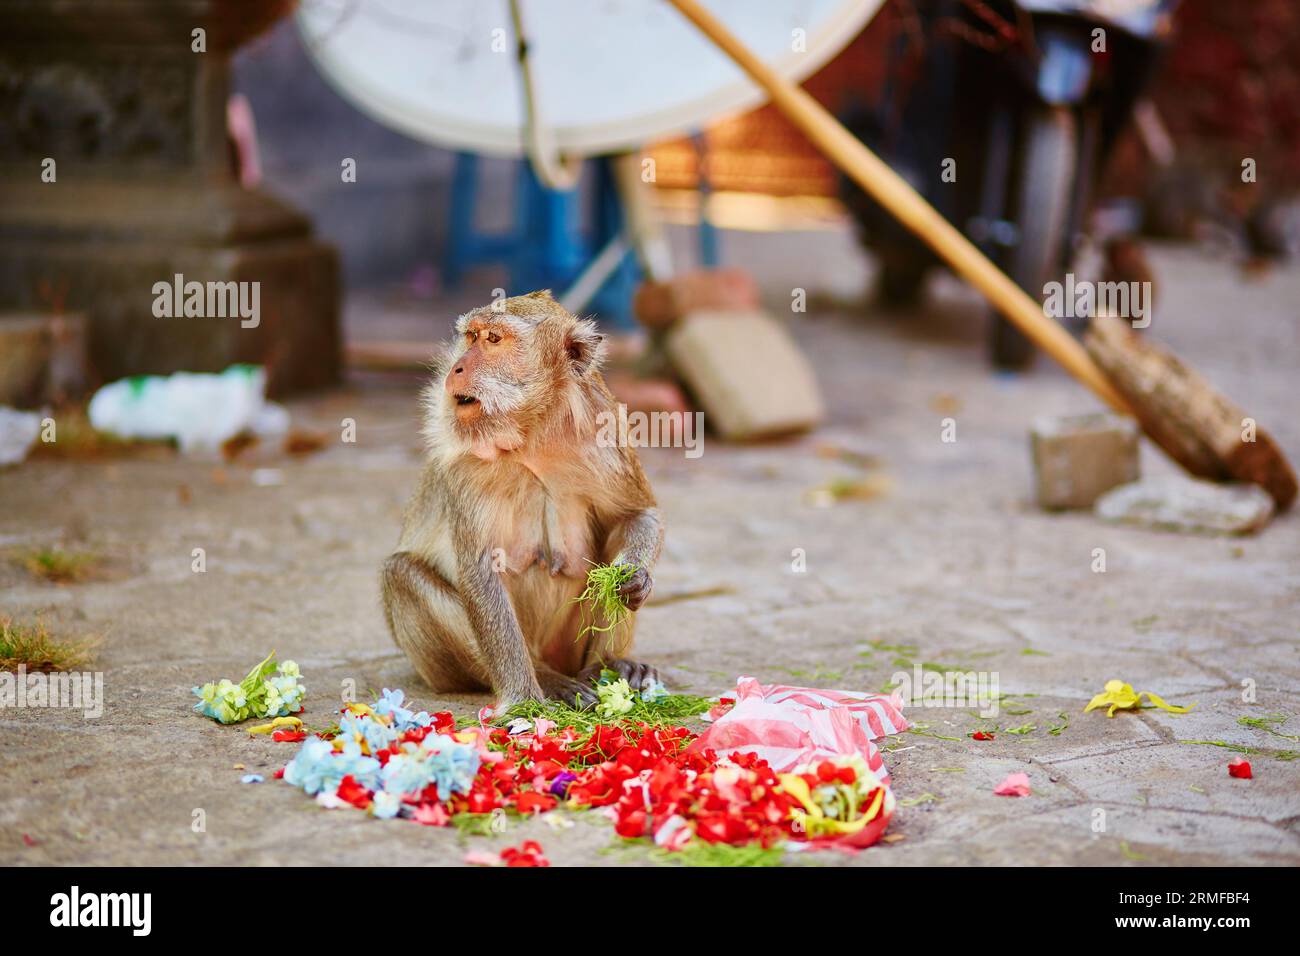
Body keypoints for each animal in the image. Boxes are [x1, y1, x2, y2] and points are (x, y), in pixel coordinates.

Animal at [377, 291, 660, 712]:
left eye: (493, 339)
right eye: (471, 336)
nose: (457, 368)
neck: (533, 433)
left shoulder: (606, 425)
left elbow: (635, 514)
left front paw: (634, 576)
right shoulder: (465, 461)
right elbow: (481, 569)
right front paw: (524, 699)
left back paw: (610, 666)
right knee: (400, 575)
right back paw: (549, 677)